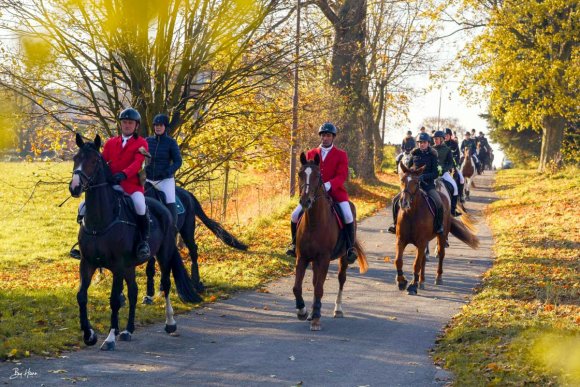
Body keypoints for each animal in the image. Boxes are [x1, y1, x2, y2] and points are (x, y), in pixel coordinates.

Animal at [68, 135, 202, 354]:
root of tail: (164, 209)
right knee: (133, 292)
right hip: (130, 266)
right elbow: (81, 296)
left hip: (163, 254)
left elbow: (114, 300)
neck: (101, 220)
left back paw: (170, 323)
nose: (75, 187)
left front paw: (109, 339)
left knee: (166, 284)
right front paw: (89, 335)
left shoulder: (117, 266)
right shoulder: (87, 263)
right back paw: (128, 330)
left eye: (94, 161)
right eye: (75, 158)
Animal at [292, 153, 370, 332]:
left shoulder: (324, 259)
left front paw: (316, 319)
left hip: (343, 258)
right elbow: (297, 287)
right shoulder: (302, 257)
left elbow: (319, 289)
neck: (314, 222)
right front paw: (302, 311)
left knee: (341, 279)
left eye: (318, 176)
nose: (305, 201)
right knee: (314, 281)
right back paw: (311, 312)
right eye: (300, 174)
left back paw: (337, 309)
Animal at [394, 163, 480, 294]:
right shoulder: (401, 240)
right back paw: (421, 281)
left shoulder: (421, 242)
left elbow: (416, 263)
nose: (404, 203)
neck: (411, 213)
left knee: (441, 254)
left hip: (442, 235)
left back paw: (438, 278)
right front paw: (401, 281)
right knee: (424, 258)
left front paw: (412, 286)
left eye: (417, 182)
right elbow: (398, 261)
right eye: (402, 180)